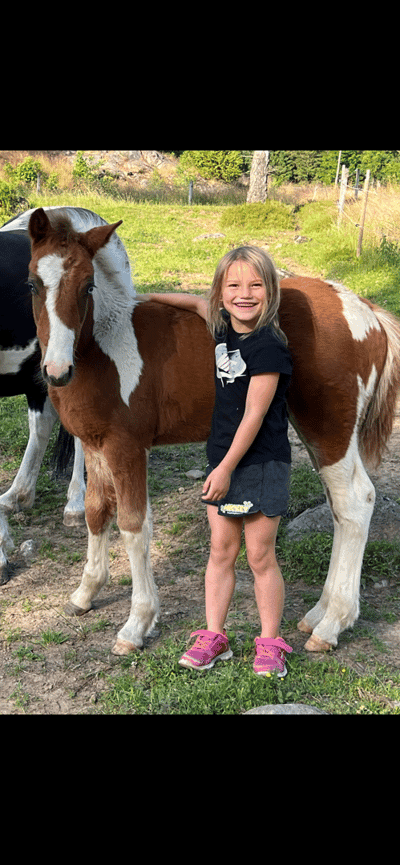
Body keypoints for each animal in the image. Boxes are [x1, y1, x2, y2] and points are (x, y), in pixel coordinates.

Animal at [24, 208, 400, 656]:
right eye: (32, 283)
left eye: (87, 285)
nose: (56, 371)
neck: (101, 348)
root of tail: (365, 310)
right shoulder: (95, 445)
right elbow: (97, 513)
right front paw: (84, 593)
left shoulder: (127, 447)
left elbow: (134, 526)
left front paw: (137, 624)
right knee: (340, 508)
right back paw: (318, 614)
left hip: (330, 428)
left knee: (356, 502)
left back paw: (333, 624)